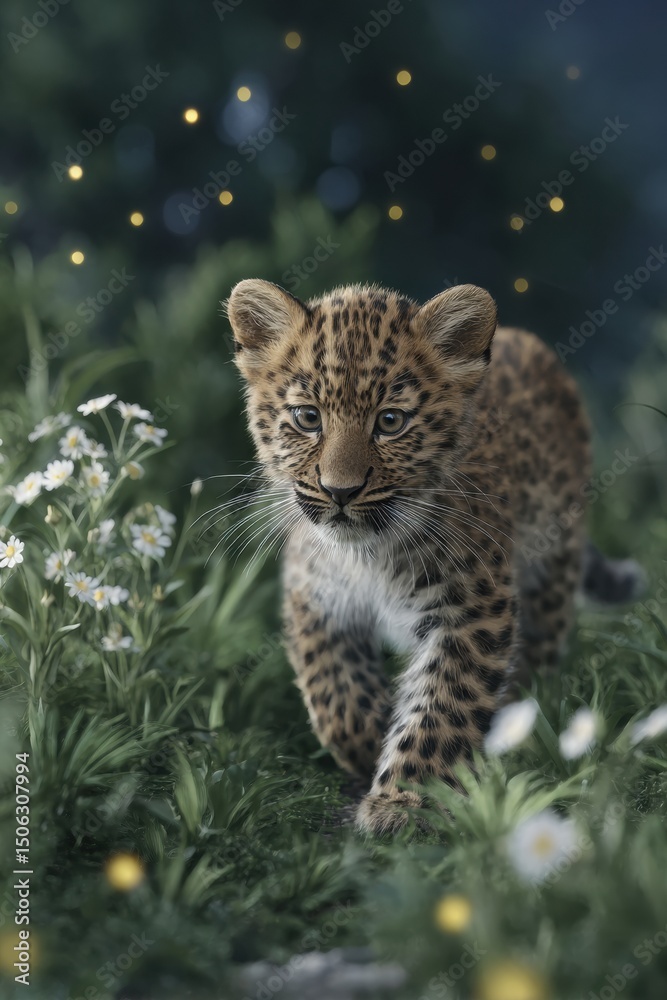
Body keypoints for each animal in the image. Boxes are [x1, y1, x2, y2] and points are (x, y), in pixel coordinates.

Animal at [226, 278, 642, 835]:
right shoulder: (315, 594)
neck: (368, 554)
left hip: (554, 559)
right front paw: (371, 739)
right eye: (308, 418)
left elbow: (444, 705)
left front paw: (403, 801)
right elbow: (335, 691)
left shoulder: (472, 610)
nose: (340, 491)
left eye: (391, 422)